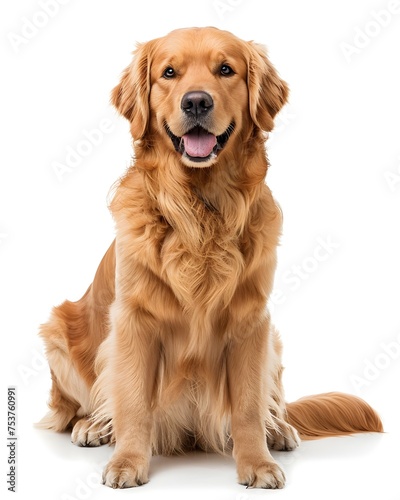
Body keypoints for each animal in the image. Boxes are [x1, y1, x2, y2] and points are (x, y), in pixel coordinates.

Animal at [38, 26, 384, 488]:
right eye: (169, 73)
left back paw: (279, 429)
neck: (201, 210)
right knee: (85, 403)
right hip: (59, 331)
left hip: (273, 343)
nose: (197, 101)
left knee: (271, 404)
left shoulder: (252, 321)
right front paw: (127, 461)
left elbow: (248, 407)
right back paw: (94, 426)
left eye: (226, 69)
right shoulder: (134, 321)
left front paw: (257, 462)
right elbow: (132, 400)